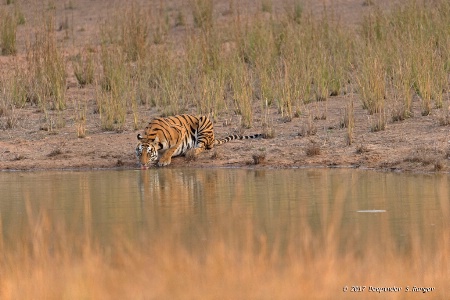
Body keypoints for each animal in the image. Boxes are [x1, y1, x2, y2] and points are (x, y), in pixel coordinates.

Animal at [136, 113, 264, 168]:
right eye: (139, 154)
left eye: (149, 153)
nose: (142, 164)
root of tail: (213, 137)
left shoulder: (180, 131)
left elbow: (171, 149)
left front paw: (164, 160)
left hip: (204, 121)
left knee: (203, 146)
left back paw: (190, 152)